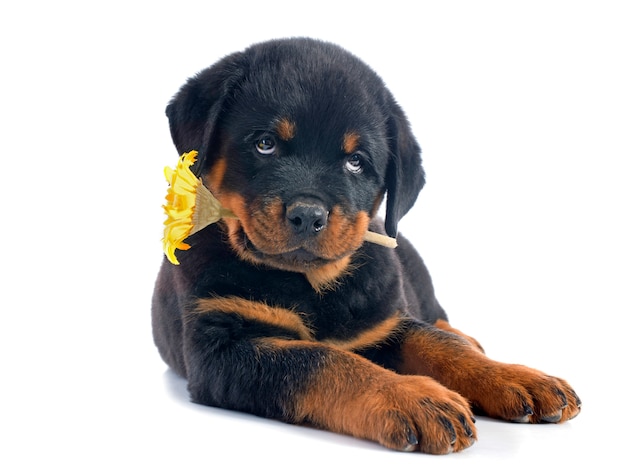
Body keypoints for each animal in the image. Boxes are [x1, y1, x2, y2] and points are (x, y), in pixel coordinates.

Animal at [152, 38, 580, 456]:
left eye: (356, 162)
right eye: (265, 144)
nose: (308, 215)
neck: (308, 283)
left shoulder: (385, 322)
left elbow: (437, 344)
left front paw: (514, 376)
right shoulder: (221, 347)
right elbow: (322, 360)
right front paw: (412, 396)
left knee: (442, 323)